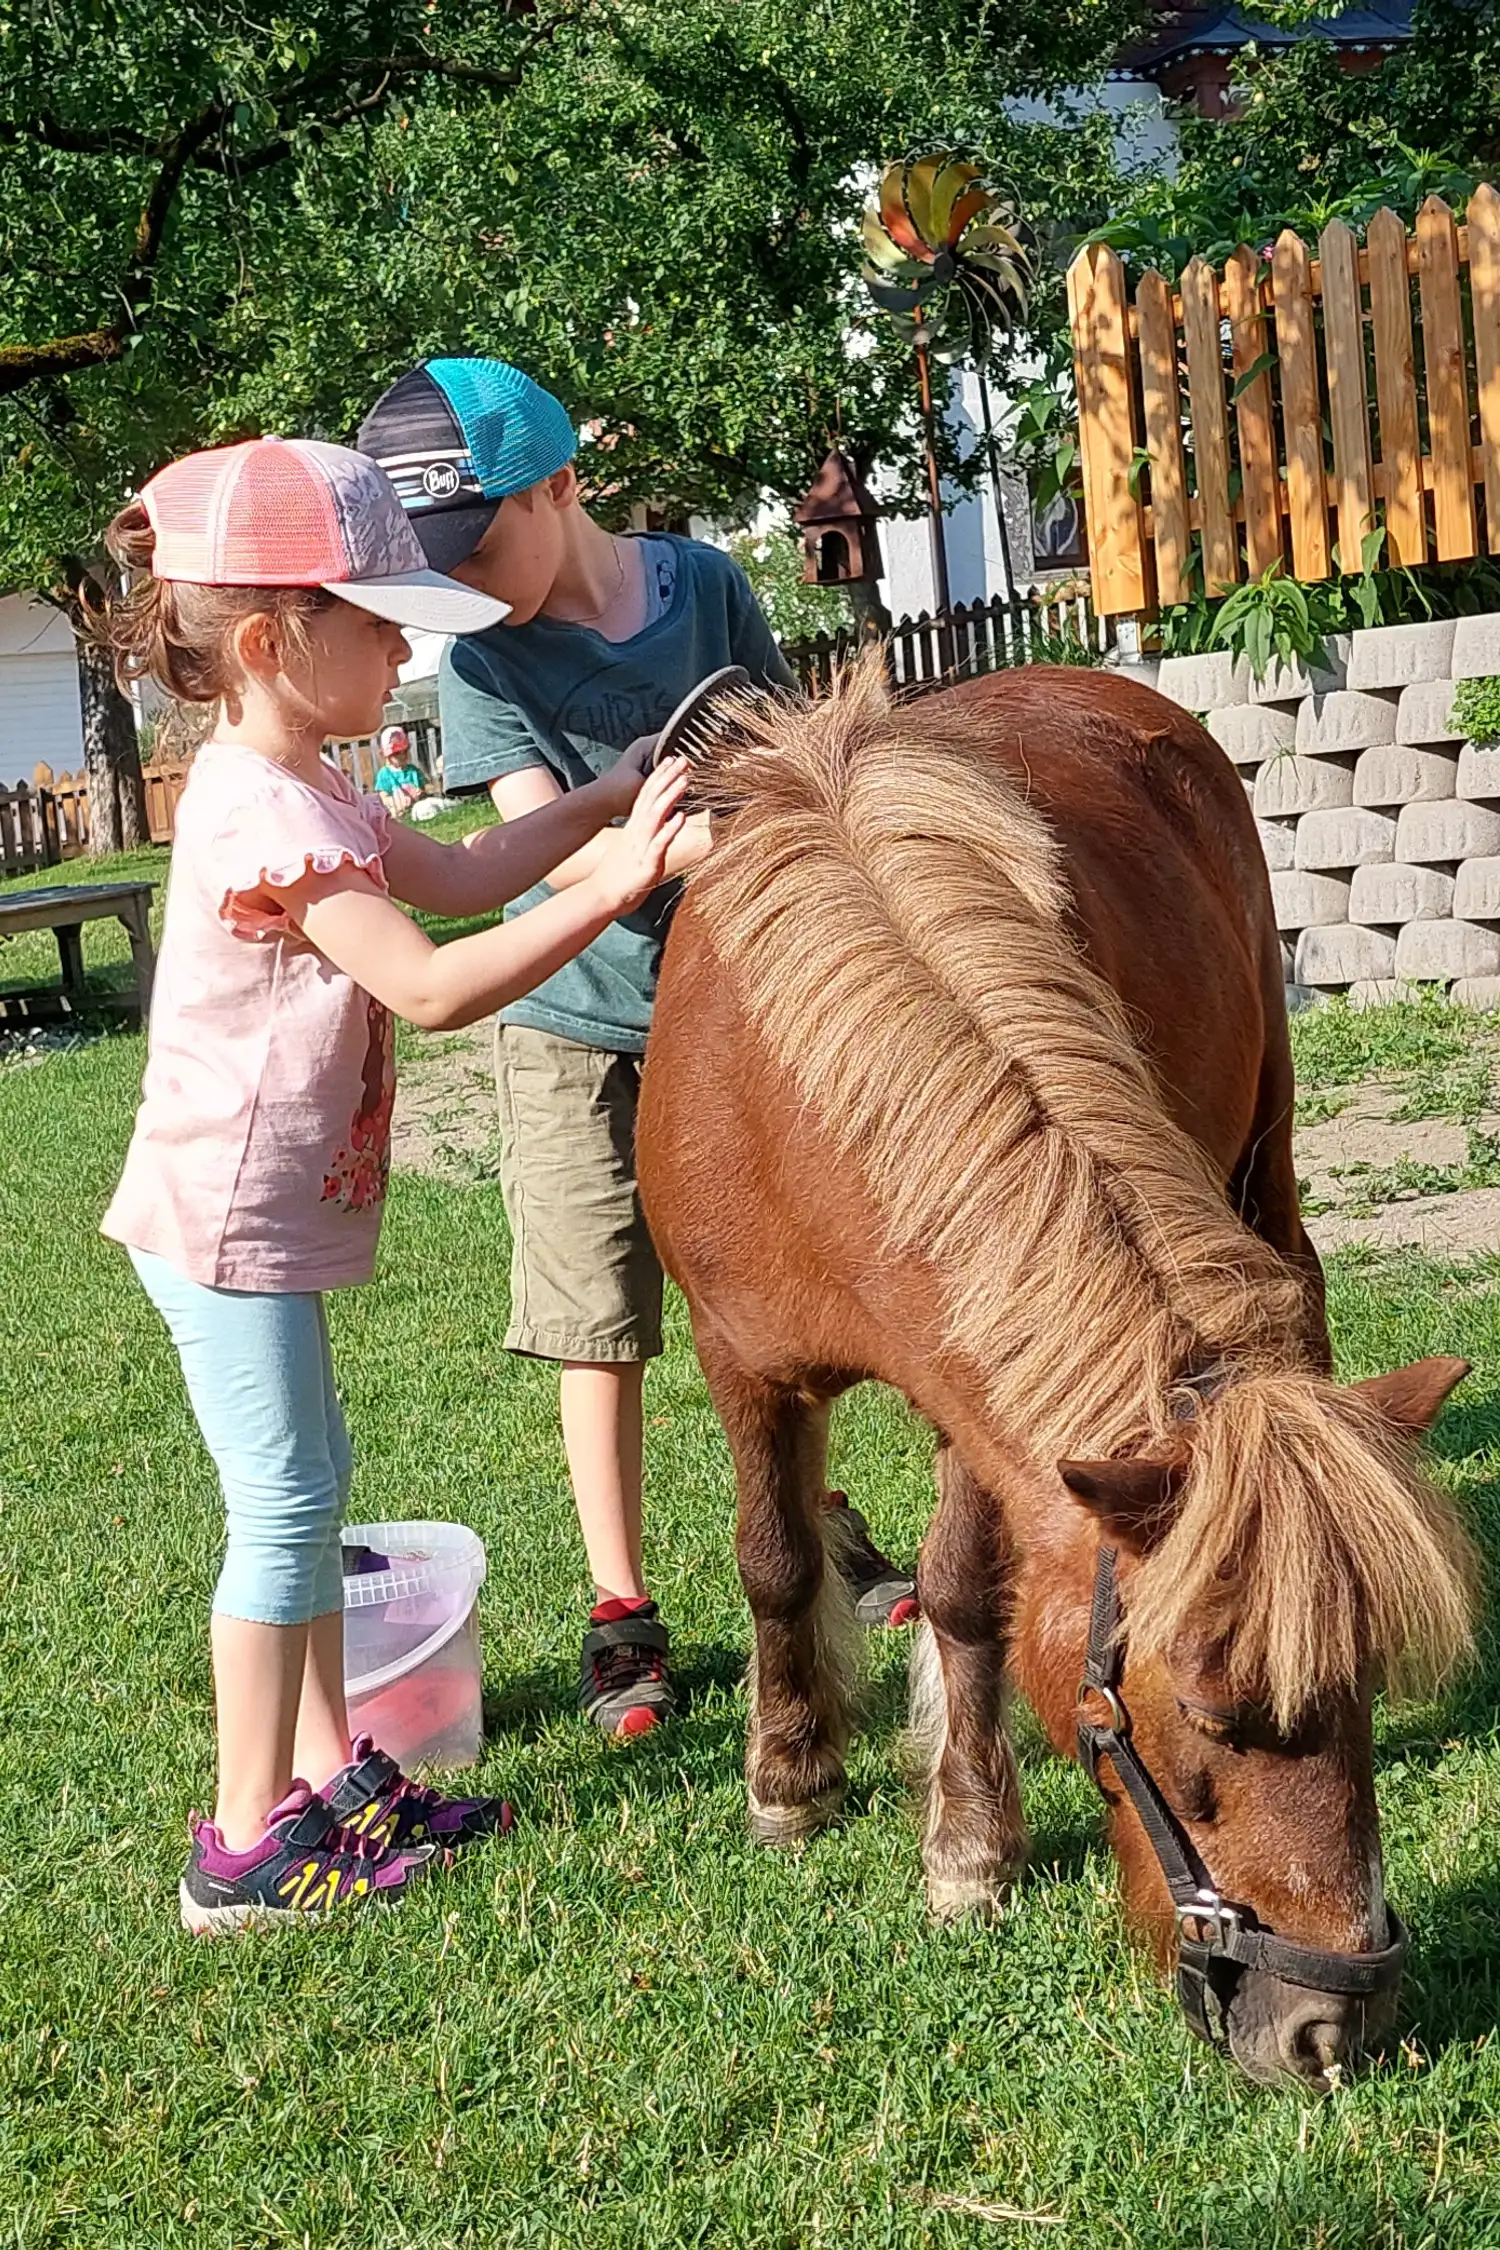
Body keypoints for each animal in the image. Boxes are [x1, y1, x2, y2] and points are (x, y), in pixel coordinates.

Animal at [637, 654, 1479, 2090]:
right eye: (1203, 1708)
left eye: (1367, 1683)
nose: (1330, 2026)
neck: (798, 1078)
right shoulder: (742, 1360)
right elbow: (775, 1558)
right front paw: (792, 1779)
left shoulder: (972, 1397)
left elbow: (967, 1592)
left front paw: (969, 1839)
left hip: (1266, 1138)